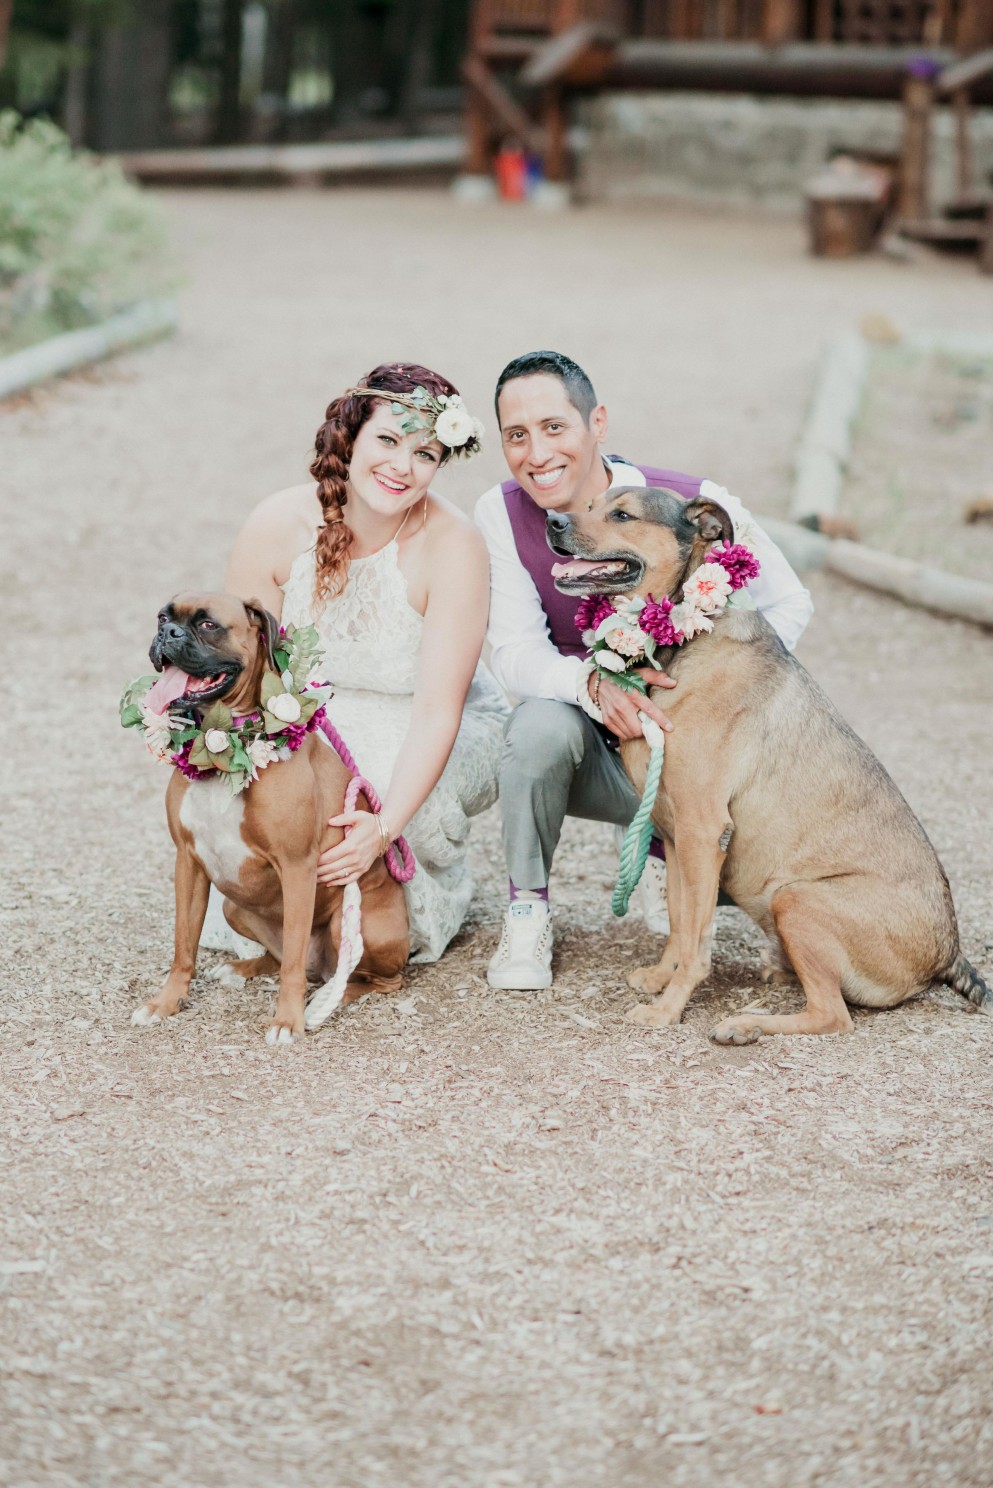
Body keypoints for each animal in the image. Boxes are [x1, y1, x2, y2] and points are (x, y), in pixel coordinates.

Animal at [131, 592, 407, 1047]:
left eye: (207, 625)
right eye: (161, 617)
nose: (167, 633)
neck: (221, 746)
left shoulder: (297, 867)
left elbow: (293, 962)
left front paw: (287, 1021)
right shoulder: (188, 863)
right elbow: (183, 945)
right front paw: (166, 1002)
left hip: (354, 927)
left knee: (366, 978)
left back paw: (327, 998)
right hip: (233, 906)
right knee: (282, 959)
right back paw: (242, 968)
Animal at [547, 491, 988, 1047]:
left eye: (622, 514)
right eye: (591, 503)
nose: (552, 521)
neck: (684, 643)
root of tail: (949, 953)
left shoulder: (703, 830)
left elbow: (696, 941)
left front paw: (669, 1008)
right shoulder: (676, 835)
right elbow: (679, 922)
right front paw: (661, 977)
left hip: (796, 898)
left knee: (833, 1016)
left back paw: (744, 1024)